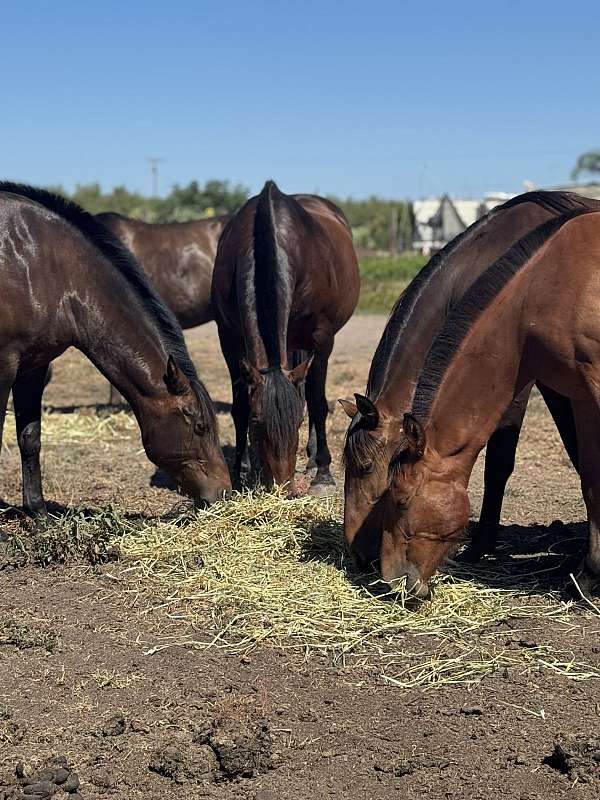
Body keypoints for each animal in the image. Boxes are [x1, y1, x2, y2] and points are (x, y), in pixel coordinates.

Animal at [212, 180, 360, 495]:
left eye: (298, 421)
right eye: (256, 422)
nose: (283, 489)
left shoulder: (322, 339)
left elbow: (317, 402)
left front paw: (323, 472)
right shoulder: (228, 338)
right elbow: (239, 405)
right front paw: (238, 473)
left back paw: (314, 461)